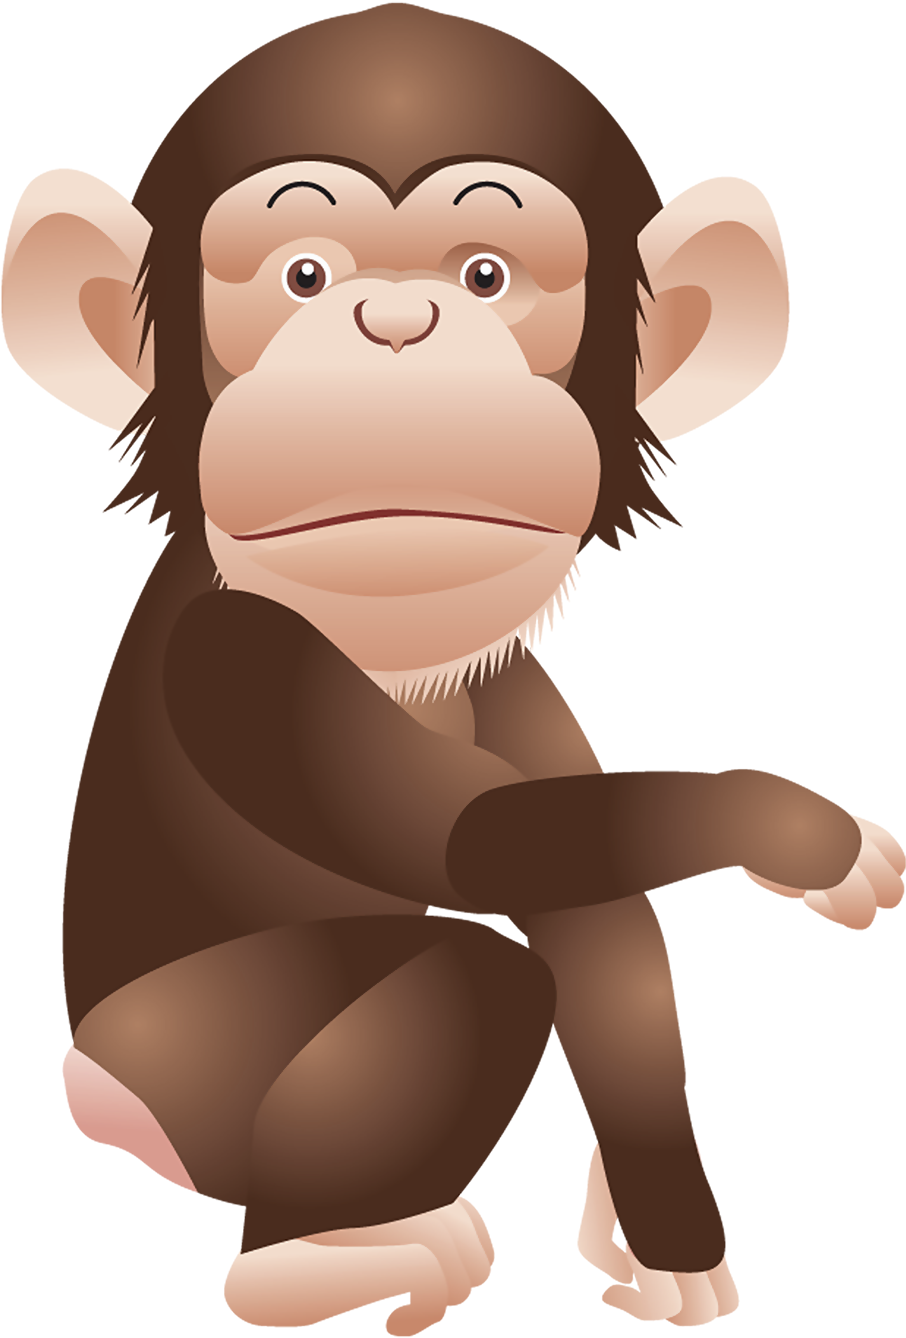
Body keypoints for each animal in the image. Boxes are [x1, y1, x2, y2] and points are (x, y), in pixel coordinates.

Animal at [3, 6, 902, 1333]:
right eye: (303, 273)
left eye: (487, 273)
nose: (395, 324)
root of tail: (96, 1094)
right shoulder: (239, 663)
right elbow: (474, 845)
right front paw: (794, 826)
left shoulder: (516, 687)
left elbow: (597, 923)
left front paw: (671, 1235)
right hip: (186, 1067)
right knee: (468, 978)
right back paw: (308, 1260)